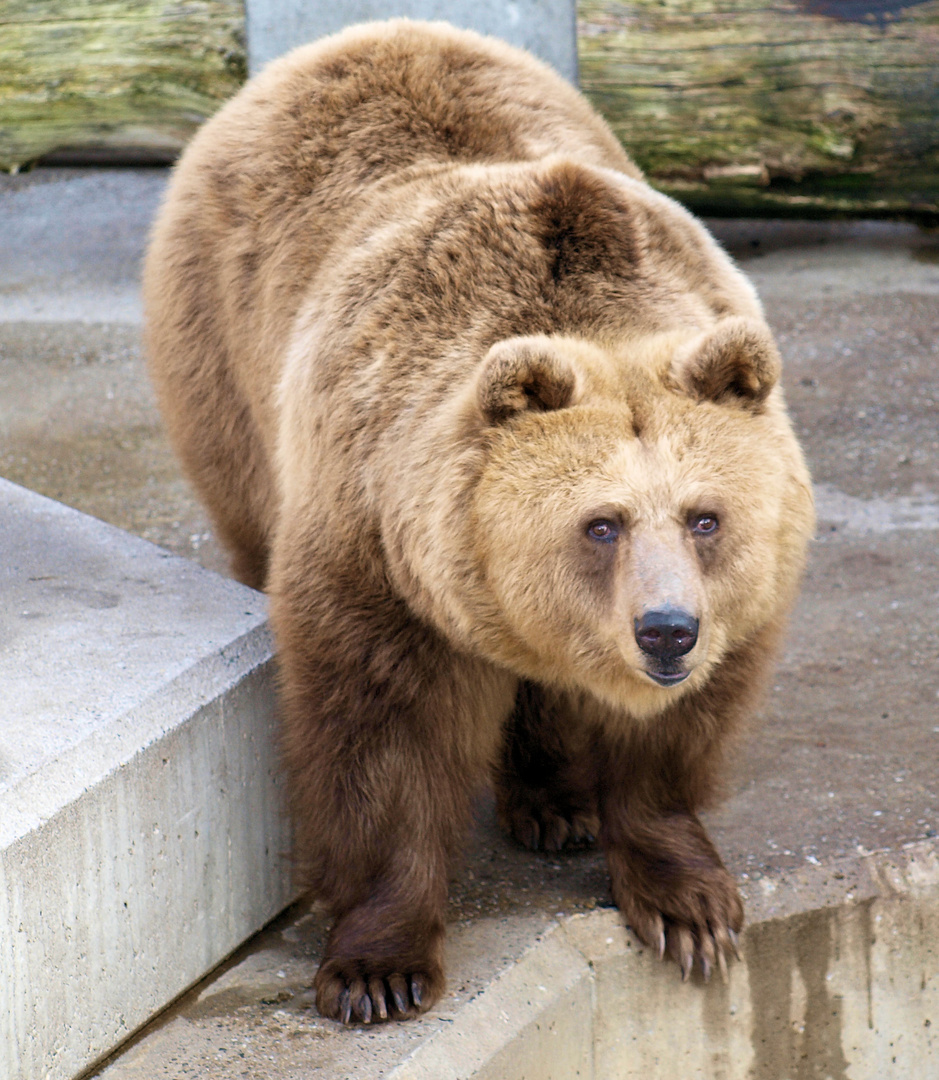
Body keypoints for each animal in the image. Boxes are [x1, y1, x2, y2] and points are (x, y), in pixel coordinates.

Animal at [141, 19, 812, 1028]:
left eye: (705, 517)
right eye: (600, 523)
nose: (666, 629)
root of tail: (364, 34)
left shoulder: (738, 602)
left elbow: (671, 739)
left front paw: (688, 909)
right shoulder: (376, 537)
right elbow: (381, 736)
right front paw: (377, 967)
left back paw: (557, 801)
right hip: (224, 365)